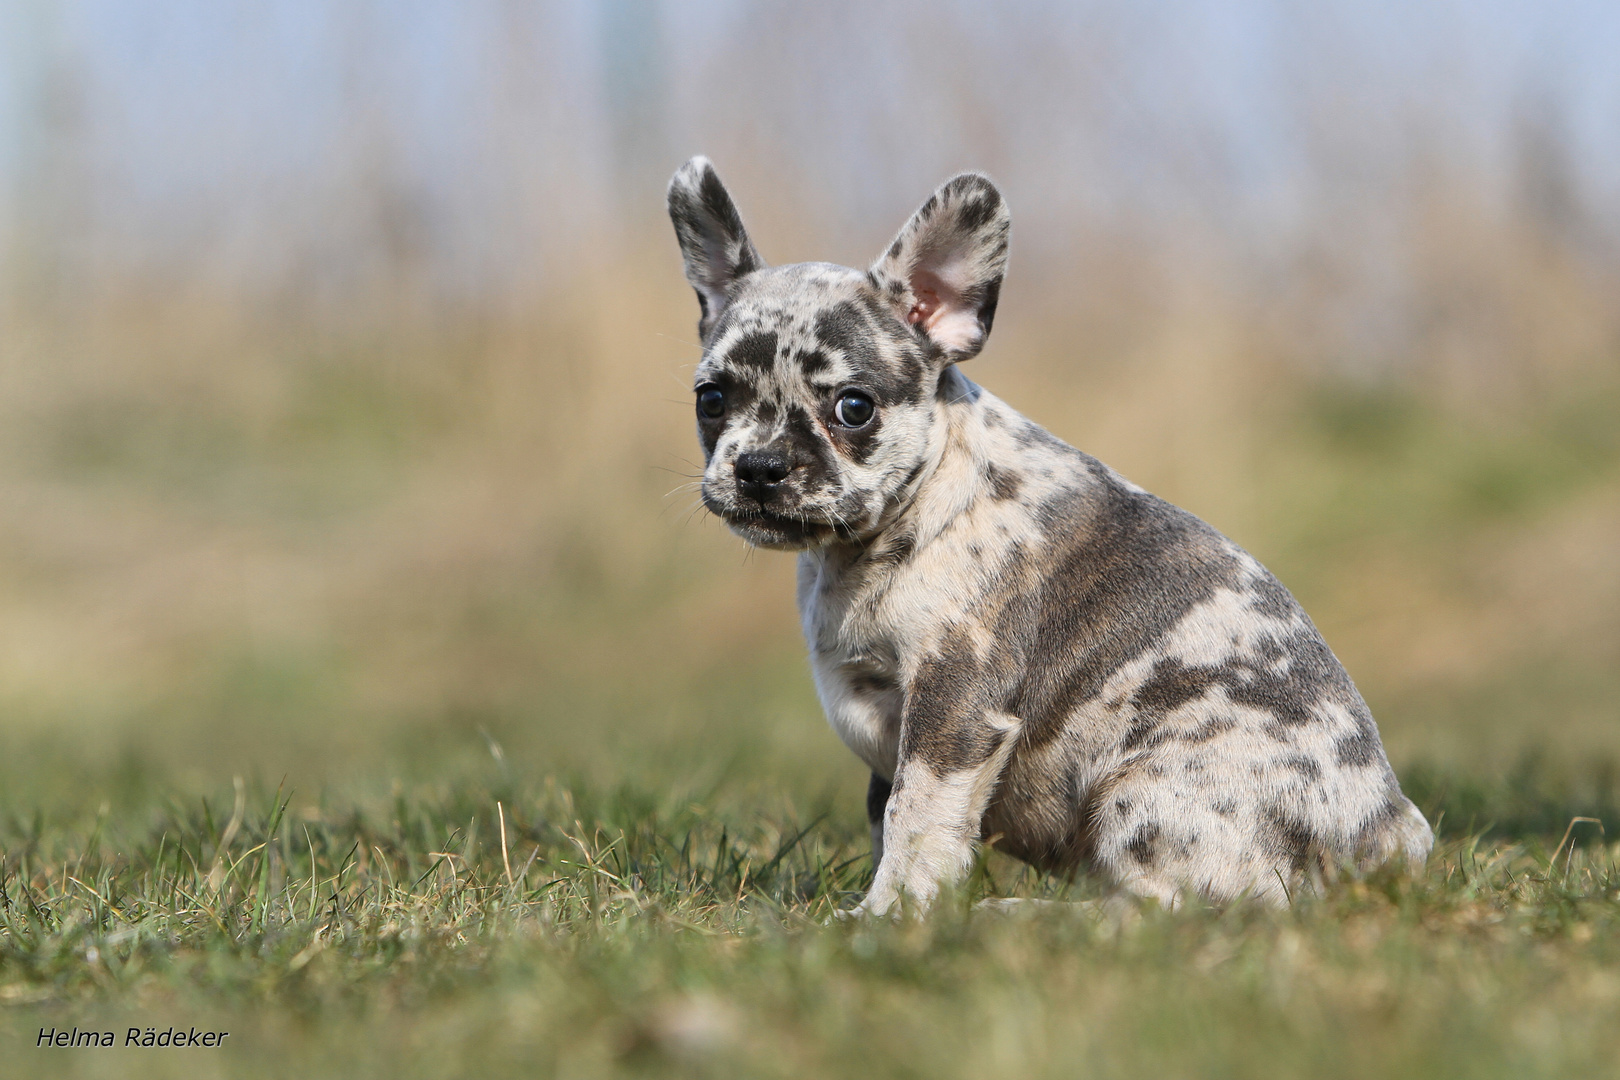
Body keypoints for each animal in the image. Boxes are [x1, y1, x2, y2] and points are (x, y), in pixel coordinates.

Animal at [664, 156, 1425, 913]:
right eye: (711, 400)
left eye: (853, 408)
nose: (760, 467)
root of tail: (1384, 837)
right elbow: (888, 814)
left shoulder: (954, 704)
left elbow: (916, 816)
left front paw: (886, 915)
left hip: (1150, 794)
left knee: (1162, 908)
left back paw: (1020, 915)